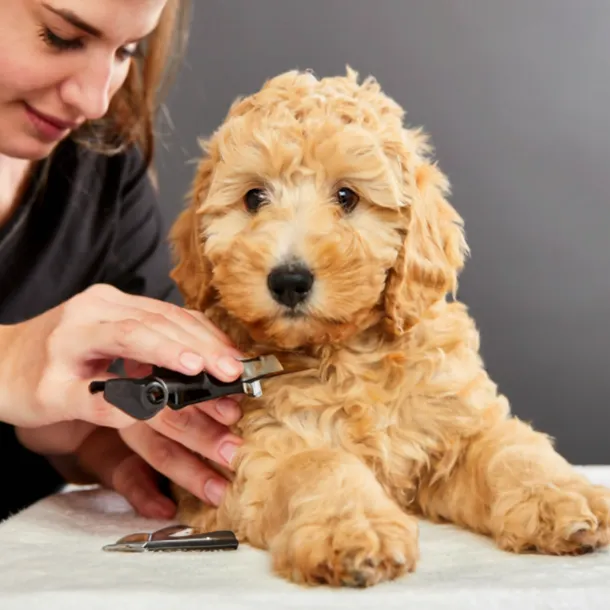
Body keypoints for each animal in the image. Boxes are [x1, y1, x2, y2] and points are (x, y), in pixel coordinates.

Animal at [166, 66, 608, 584]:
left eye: (346, 196)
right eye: (254, 198)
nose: (289, 281)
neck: (349, 351)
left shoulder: (457, 424)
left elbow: (510, 449)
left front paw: (562, 499)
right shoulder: (253, 456)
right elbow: (321, 463)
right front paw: (353, 529)